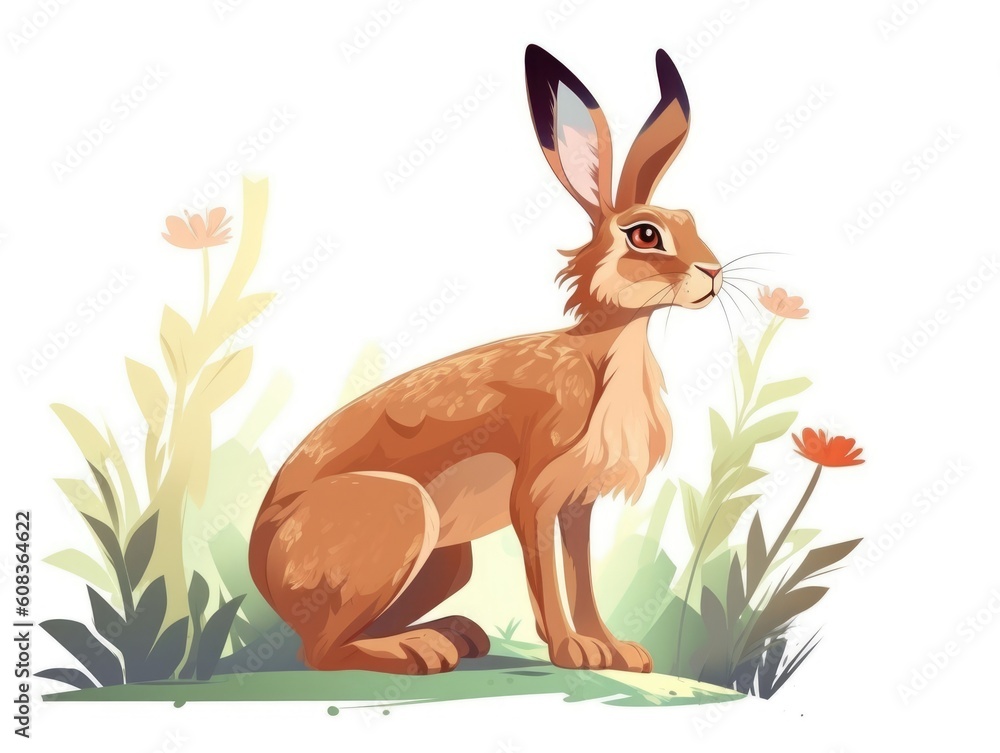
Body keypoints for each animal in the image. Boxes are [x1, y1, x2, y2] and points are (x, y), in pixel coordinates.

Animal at [248, 44, 723, 675]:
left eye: (689, 220)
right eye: (645, 235)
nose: (714, 273)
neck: (601, 355)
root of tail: (263, 572)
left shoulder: (577, 505)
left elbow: (582, 575)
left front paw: (617, 651)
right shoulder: (537, 494)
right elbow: (547, 577)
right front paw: (573, 652)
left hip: (449, 560)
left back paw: (455, 635)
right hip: (402, 516)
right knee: (321, 652)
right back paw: (420, 652)